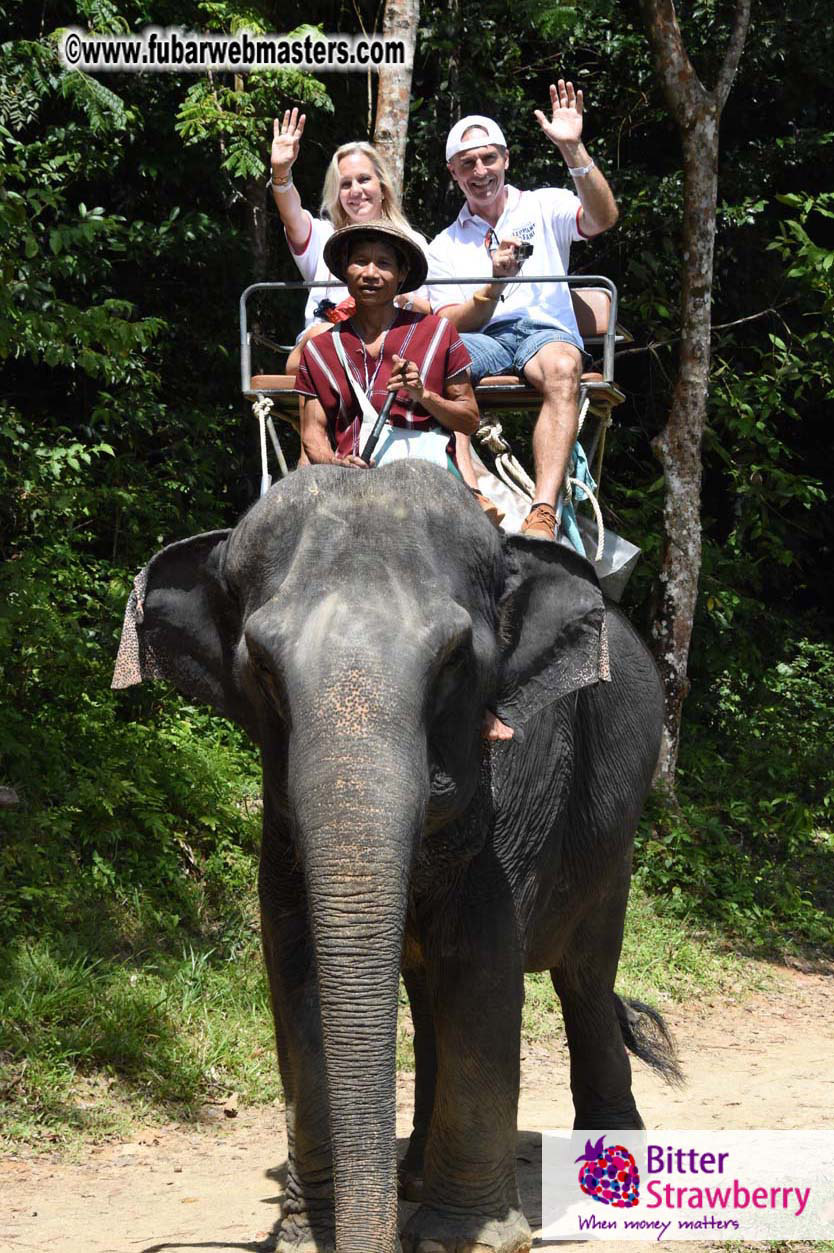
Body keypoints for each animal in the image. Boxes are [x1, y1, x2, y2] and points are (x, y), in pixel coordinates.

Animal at [113, 459, 680, 1253]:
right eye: (263, 665)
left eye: (452, 661)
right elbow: (295, 971)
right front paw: (307, 1237)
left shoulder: (514, 790)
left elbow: (482, 962)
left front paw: (468, 1237)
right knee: (426, 994)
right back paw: (410, 1174)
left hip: (615, 824)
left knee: (586, 975)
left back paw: (613, 1167)